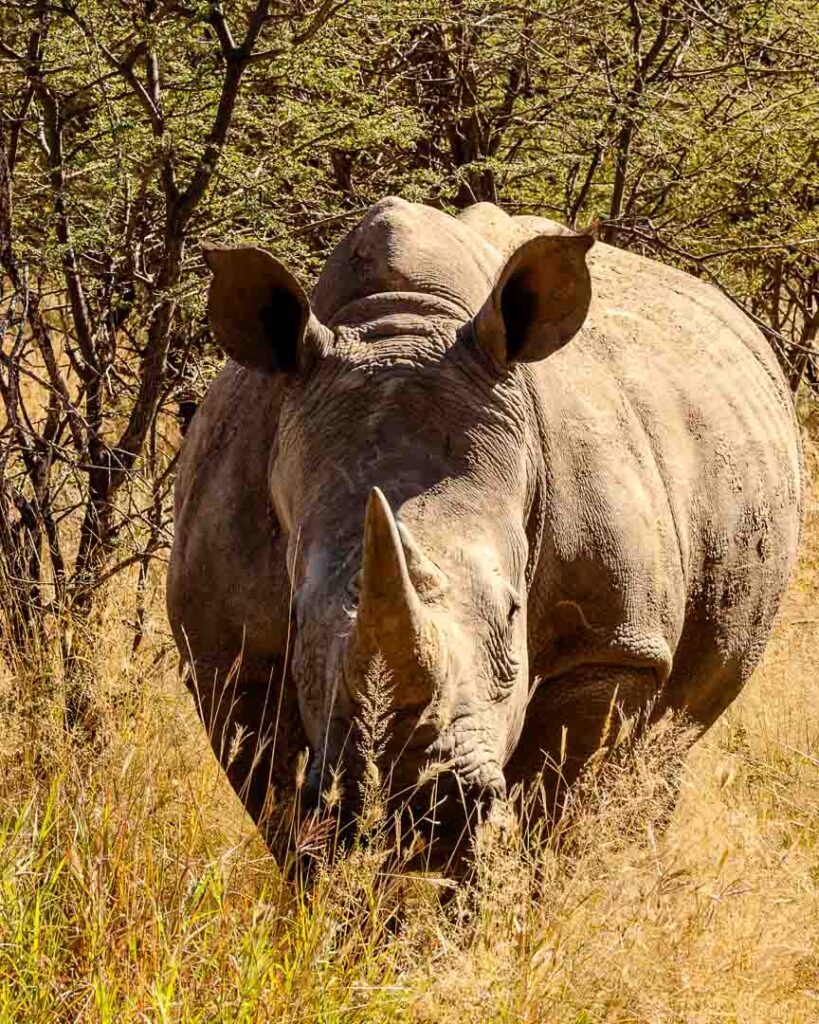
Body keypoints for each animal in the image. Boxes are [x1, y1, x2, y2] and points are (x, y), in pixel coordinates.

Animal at [167, 197, 803, 853]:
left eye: (513, 612)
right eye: (296, 618)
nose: (414, 800)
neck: (402, 322)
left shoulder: (611, 648)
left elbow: (554, 815)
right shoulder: (224, 657)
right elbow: (283, 813)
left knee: (669, 741)